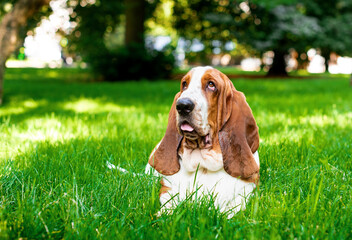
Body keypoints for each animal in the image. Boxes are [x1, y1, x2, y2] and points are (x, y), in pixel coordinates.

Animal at [144, 66, 260, 218]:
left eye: (211, 85)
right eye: (184, 84)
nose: (182, 105)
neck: (202, 164)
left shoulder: (247, 191)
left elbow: (232, 208)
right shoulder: (167, 188)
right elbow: (169, 200)